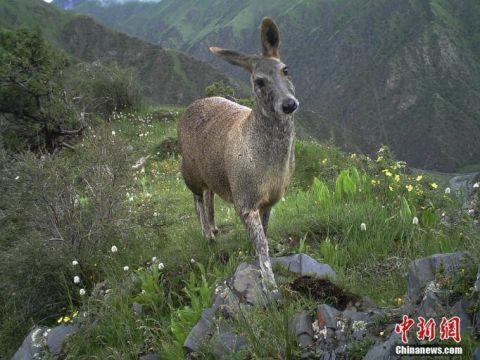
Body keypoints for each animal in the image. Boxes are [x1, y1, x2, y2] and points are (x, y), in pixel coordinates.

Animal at [177, 17, 296, 292]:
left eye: (286, 69)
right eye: (259, 81)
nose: (289, 104)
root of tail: (190, 107)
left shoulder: (269, 200)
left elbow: (265, 235)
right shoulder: (244, 200)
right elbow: (261, 243)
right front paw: (270, 285)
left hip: (211, 172)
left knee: (209, 193)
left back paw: (214, 228)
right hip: (188, 170)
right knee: (197, 198)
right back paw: (207, 234)